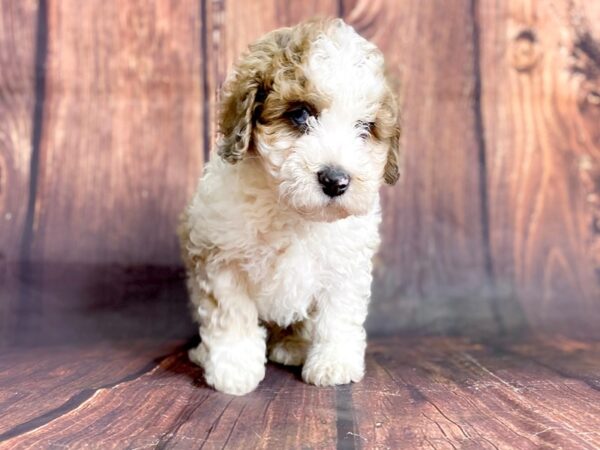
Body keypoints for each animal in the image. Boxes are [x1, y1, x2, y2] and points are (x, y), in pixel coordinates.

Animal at [180, 17, 400, 394]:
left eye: (365, 127)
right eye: (299, 115)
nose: (335, 180)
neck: (292, 210)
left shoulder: (346, 264)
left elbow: (338, 315)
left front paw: (333, 363)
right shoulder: (220, 256)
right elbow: (231, 314)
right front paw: (234, 369)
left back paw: (293, 346)